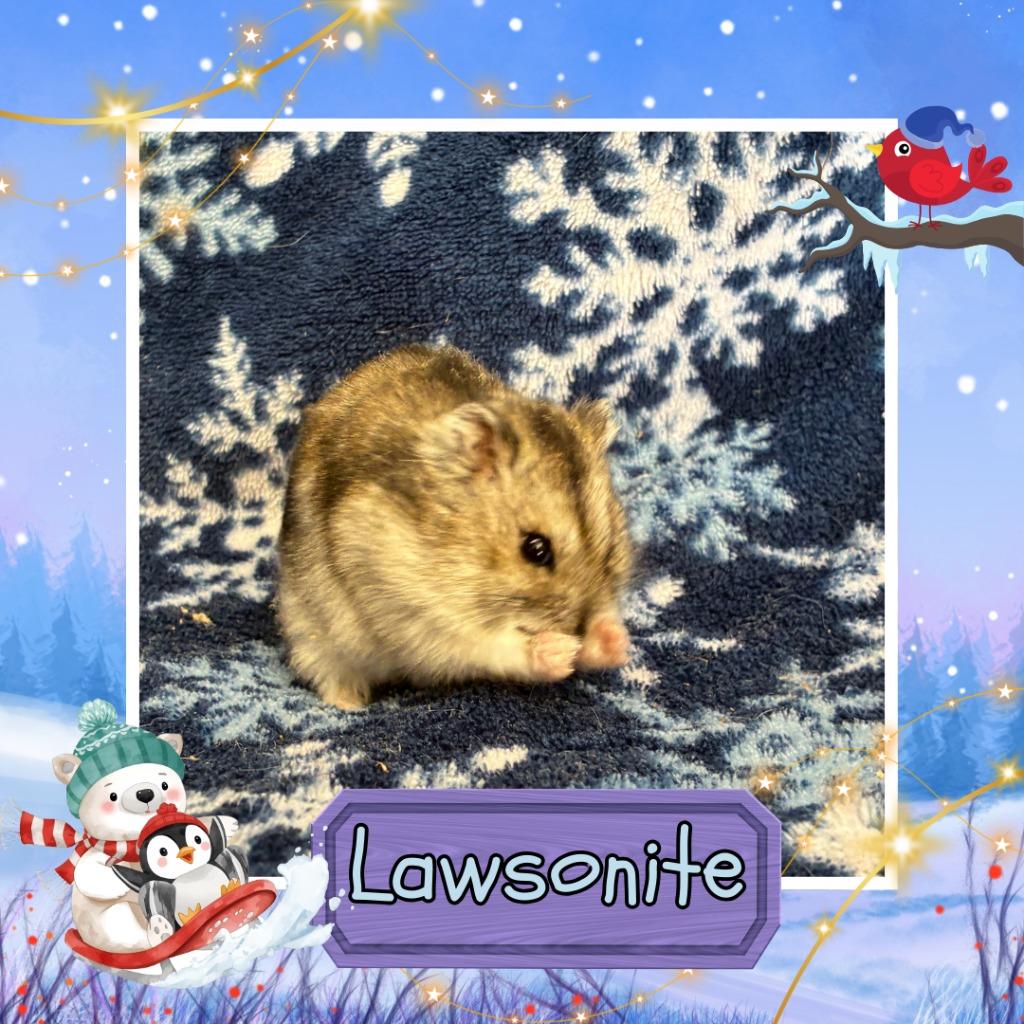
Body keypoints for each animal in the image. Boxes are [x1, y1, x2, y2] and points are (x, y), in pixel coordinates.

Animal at [277, 345, 632, 710]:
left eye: (609, 551)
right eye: (535, 549)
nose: (577, 631)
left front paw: (614, 641)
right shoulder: (414, 610)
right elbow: (487, 647)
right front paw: (558, 651)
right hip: (309, 633)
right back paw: (350, 705)